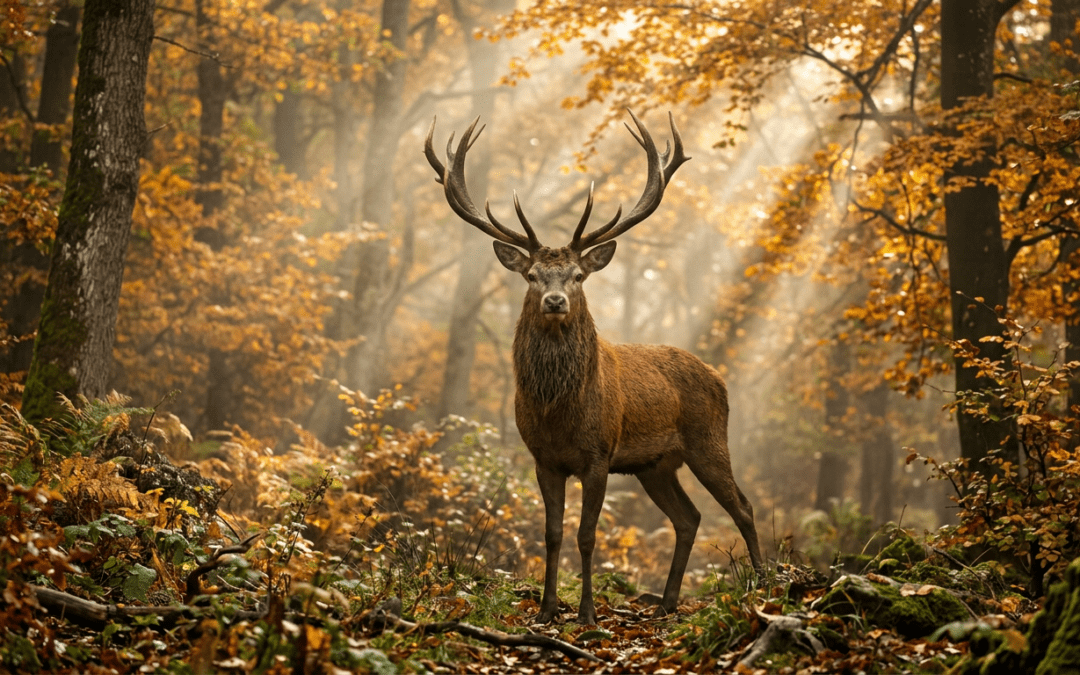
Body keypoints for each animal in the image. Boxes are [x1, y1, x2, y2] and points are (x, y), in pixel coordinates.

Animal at [424, 110, 763, 625]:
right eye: (532, 275)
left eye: (578, 275)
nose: (555, 301)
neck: (558, 413)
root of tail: (719, 377)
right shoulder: (543, 459)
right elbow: (552, 535)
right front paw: (546, 610)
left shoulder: (599, 454)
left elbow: (587, 536)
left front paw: (586, 613)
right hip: (655, 465)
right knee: (689, 517)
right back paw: (667, 602)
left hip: (708, 439)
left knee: (742, 507)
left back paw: (766, 585)